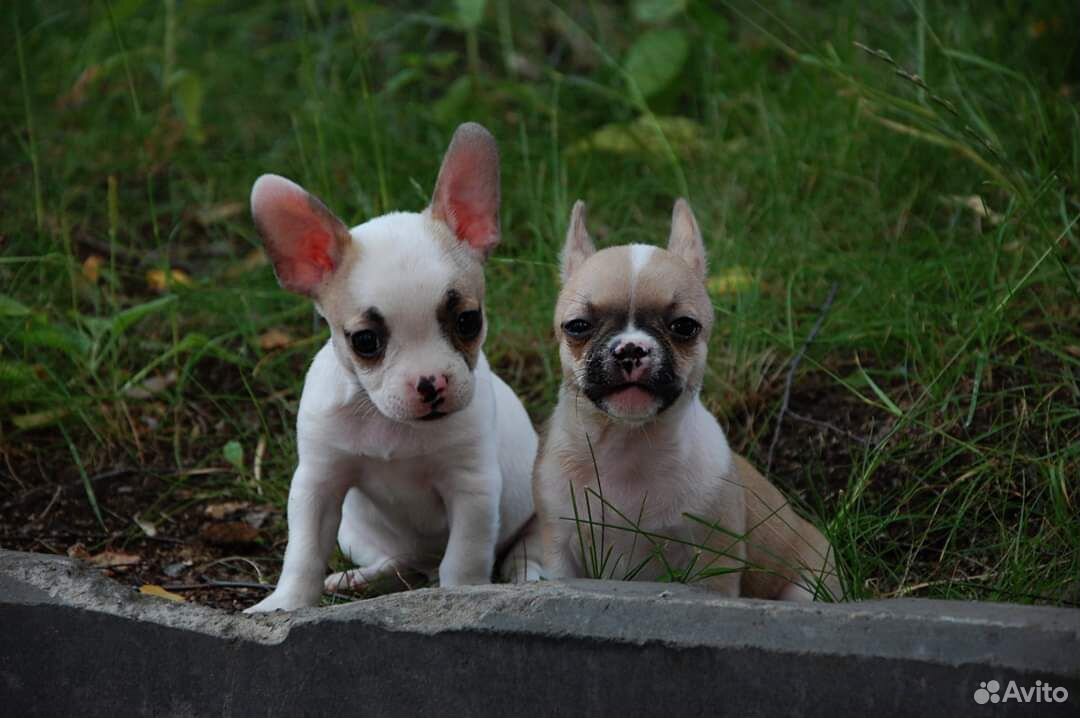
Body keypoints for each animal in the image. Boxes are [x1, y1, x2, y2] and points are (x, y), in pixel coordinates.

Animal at [248, 123, 544, 608]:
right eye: (365, 341)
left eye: (468, 320)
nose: (431, 383)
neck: (389, 424)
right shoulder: (317, 485)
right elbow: (304, 553)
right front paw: (285, 604)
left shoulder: (473, 490)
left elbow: (463, 561)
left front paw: (463, 597)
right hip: (353, 533)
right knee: (401, 563)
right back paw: (362, 578)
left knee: (526, 548)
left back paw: (524, 575)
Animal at [531, 198, 842, 600]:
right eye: (577, 326)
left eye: (684, 327)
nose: (630, 348)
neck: (626, 447)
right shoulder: (562, 551)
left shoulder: (711, 564)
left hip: (809, 583)